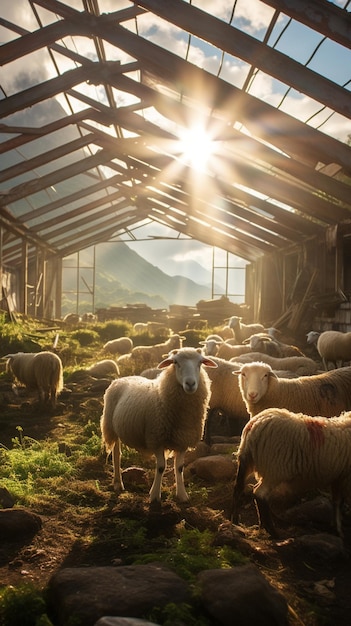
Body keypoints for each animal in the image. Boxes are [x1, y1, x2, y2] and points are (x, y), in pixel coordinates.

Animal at [99, 346, 219, 502]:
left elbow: (179, 467)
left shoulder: (183, 441)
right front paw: (155, 495)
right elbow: (161, 467)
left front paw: (182, 495)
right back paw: (118, 483)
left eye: (200, 363)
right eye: (175, 362)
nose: (190, 384)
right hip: (111, 427)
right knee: (116, 454)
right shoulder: (156, 439)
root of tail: (121, 378)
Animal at [231, 404, 351, 536]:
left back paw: (237, 522)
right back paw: (272, 531)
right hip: (275, 469)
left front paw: (336, 527)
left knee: (239, 488)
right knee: (260, 494)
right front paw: (339, 529)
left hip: (247, 461)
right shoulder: (344, 477)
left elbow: (336, 501)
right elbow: (339, 502)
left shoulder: (338, 475)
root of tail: (254, 424)